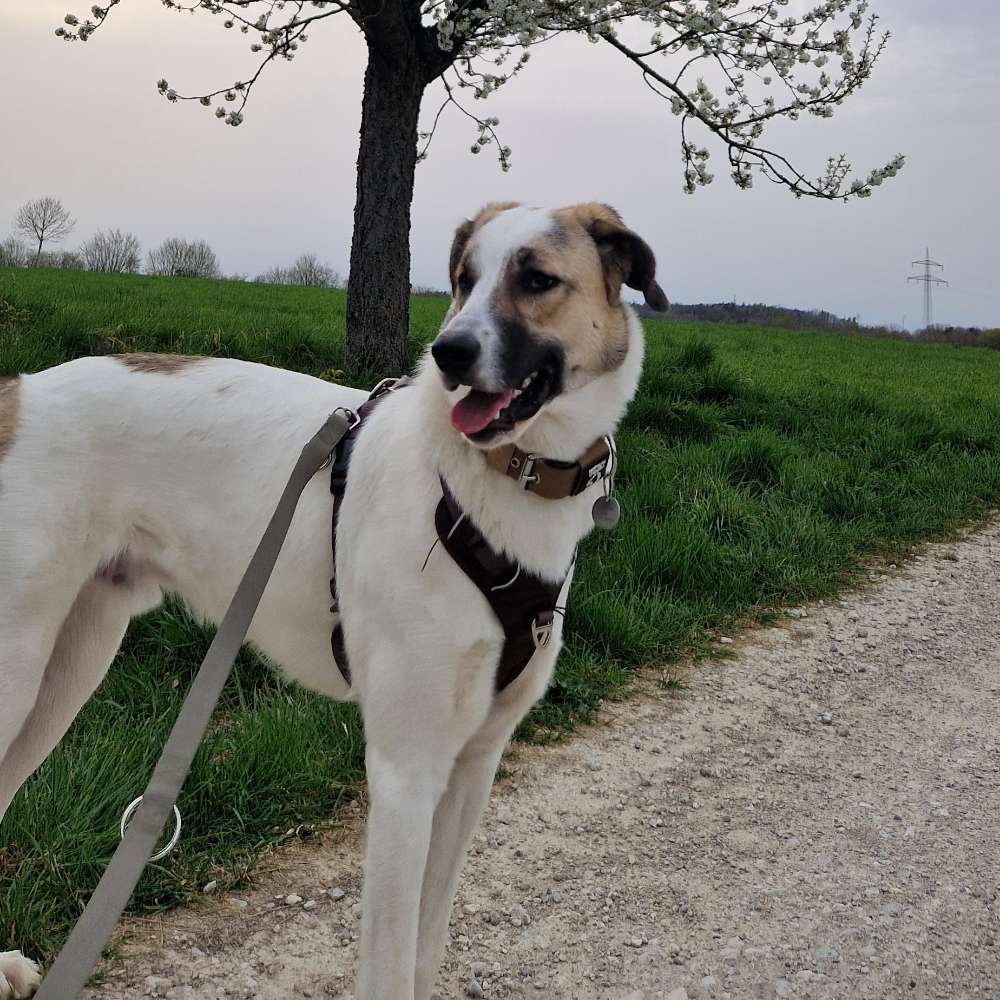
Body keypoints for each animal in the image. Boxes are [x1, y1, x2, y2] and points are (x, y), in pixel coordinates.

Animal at [1, 199, 672, 996]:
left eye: (537, 279)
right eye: (463, 279)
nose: (447, 355)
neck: (489, 483)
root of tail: (17, 391)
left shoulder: (475, 763)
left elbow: (427, 945)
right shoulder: (405, 770)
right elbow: (389, 962)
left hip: (71, 666)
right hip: (18, 668)